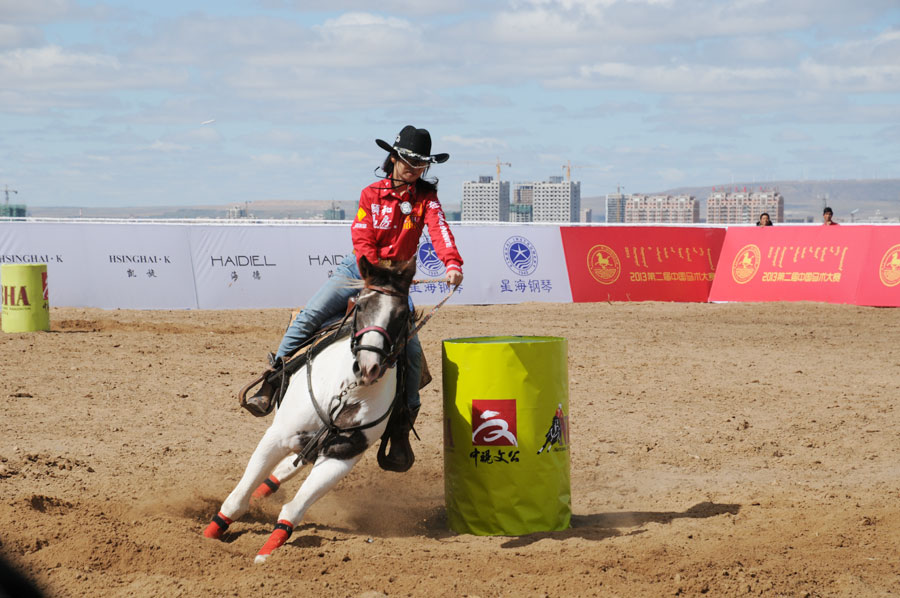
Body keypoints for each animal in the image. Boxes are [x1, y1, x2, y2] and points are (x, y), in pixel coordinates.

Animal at [202, 256, 416, 564]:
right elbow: (237, 498)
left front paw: (267, 552)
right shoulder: (277, 436)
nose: (368, 367)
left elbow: (295, 508)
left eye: (401, 315)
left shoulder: (341, 455)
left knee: (289, 468)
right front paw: (209, 535)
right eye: (361, 306)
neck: (347, 390)